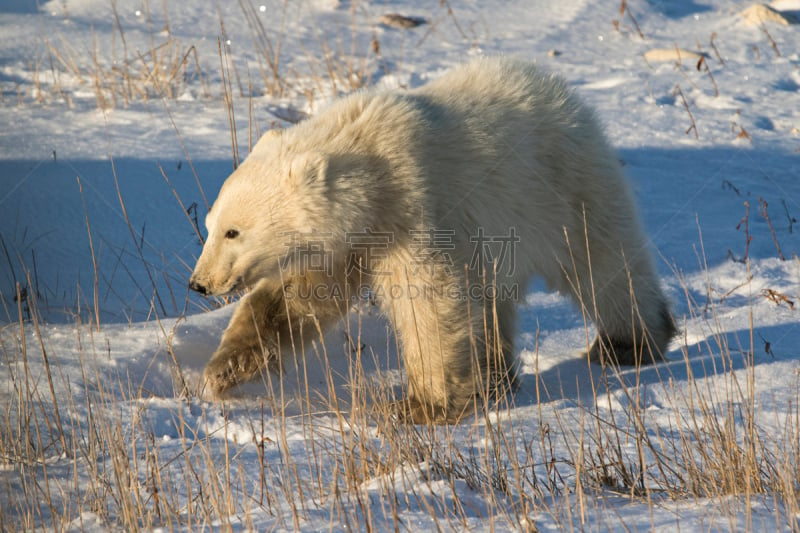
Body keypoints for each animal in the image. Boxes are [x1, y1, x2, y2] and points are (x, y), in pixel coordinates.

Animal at [189, 57, 676, 424]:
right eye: (211, 224)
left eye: (234, 230)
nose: (200, 283)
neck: (369, 170)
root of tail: (560, 90)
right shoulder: (345, 242)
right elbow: (292, 300)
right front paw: (220, 372)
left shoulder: (416, 209)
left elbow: (429, 301)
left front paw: (423, 406)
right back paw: (497, 378)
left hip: (562, 187)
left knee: (603, 263)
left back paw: (627, 343)